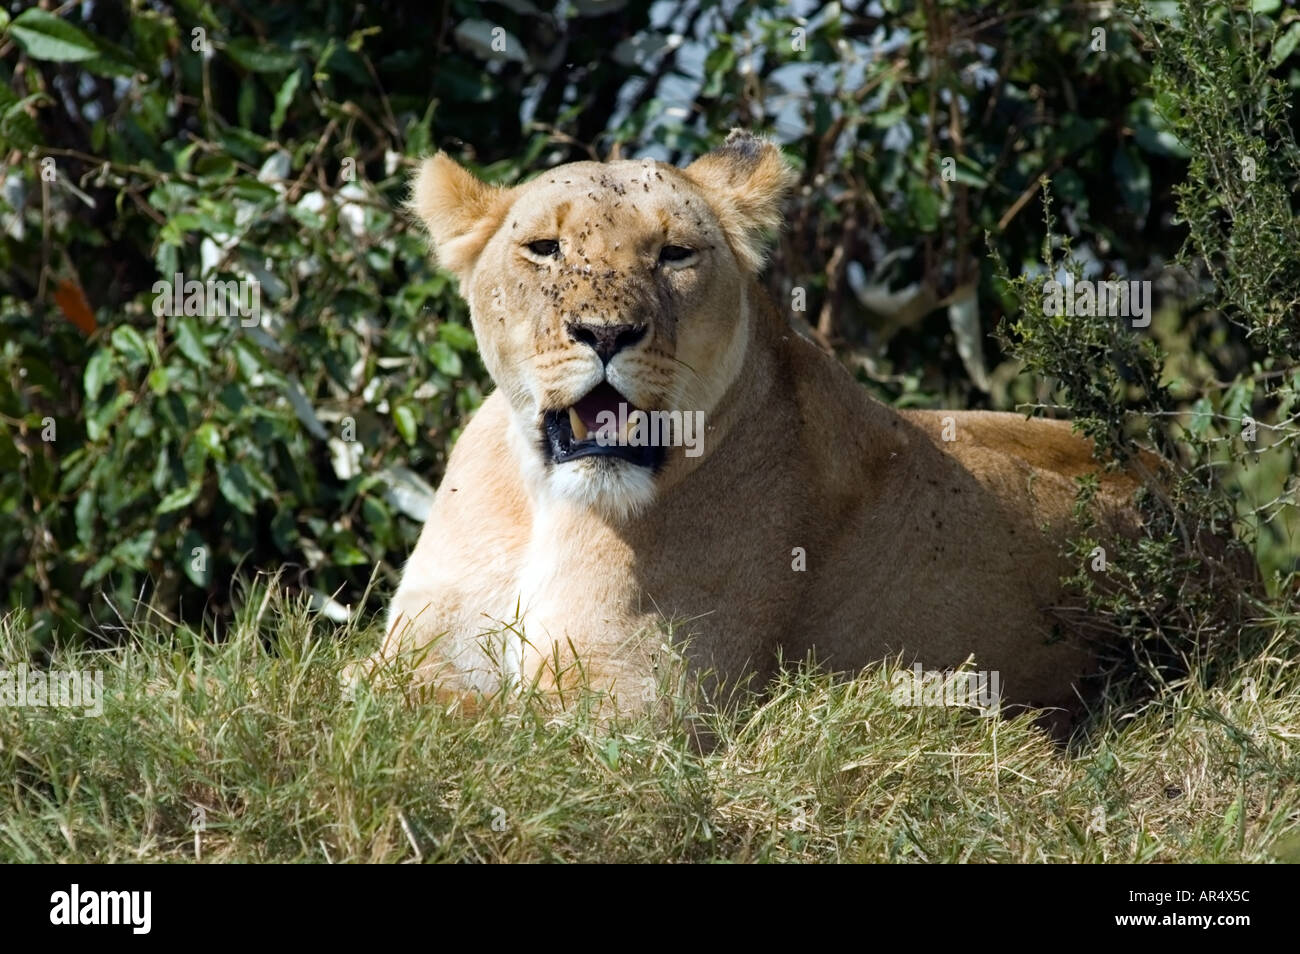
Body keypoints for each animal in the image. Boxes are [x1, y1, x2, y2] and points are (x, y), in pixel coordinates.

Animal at [361, 130, 1145, 719]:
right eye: (545, 249)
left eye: (674, 254)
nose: (606, 333)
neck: (545, 500)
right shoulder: (410, 650)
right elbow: (375, 698)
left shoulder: (632, 705)